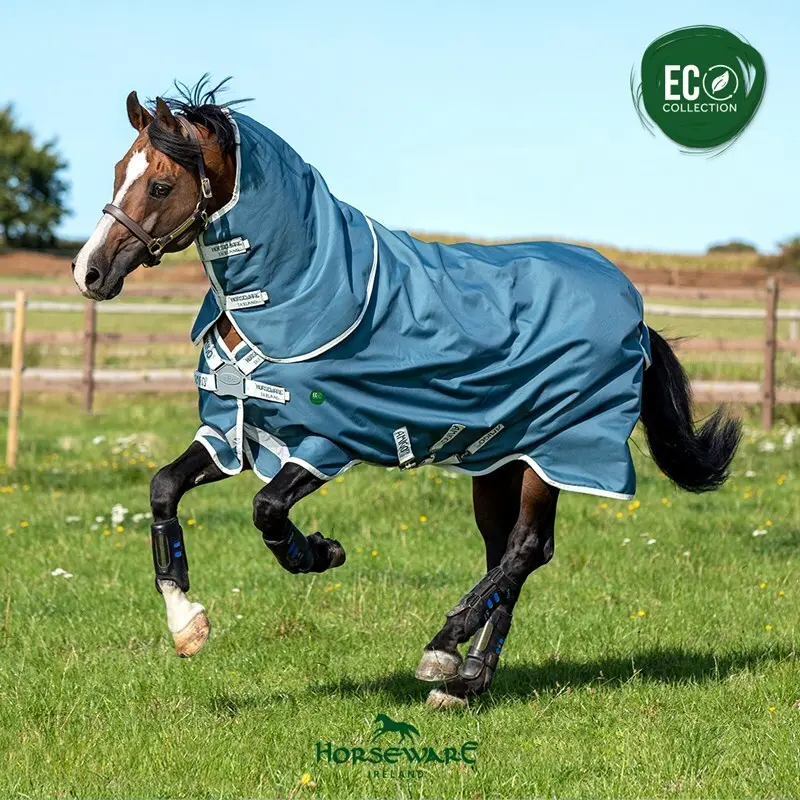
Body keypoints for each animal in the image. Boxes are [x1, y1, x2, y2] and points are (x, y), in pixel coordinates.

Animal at [72, 79, 741, 708]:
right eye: (118, 171)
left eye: (160, 186)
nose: (89, 271)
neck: (298, 293)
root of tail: (636, 315)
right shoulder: (235, 431)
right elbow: (164, 487)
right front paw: (187, 625)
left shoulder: (326, 441)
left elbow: (266, 509)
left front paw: (319, 552)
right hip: (498, 459)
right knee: (507, 552)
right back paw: (467, 680)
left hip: (555, 452)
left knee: (527, 548)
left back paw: (445, 649)